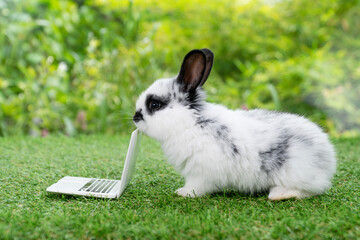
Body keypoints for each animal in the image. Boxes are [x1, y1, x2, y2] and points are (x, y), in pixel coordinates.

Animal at [133, 47, 338, 200]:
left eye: (154, 104)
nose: (135, 117)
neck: (192, 122)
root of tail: (327, 160)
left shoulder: (201, 173)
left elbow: (196, 186)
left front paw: (183, 193)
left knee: (307, 190)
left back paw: (278, 194)